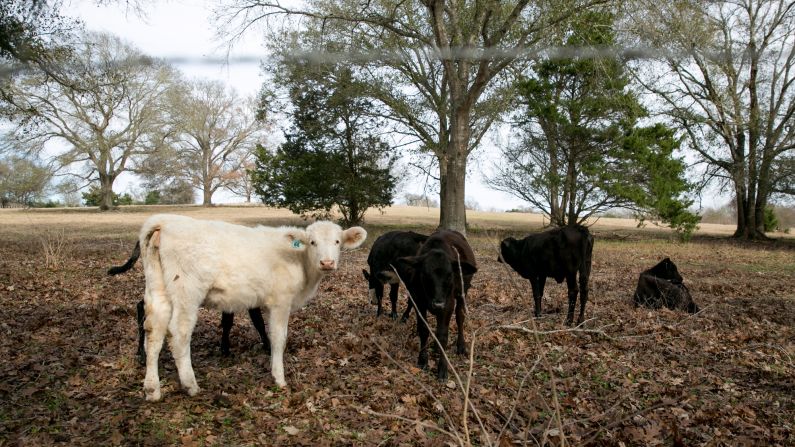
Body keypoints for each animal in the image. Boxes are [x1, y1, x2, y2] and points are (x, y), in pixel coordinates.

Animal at [129, 214, 366, 402]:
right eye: (312, 242)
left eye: (337, 241)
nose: (327, 263)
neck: (301, 263)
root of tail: (164, 220)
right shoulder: (281, 301)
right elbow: (278, 337)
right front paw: (279, 378)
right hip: (187, 291)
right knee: (179, 333)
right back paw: (190, 385)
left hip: (157, 288)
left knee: (154, 332)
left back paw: (152, 389)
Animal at [394, 231, 478, 382]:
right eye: (425, 274)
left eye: (450, 275)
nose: (438, 304)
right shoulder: (419, 302)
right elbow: (423, 330)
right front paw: (422, 360)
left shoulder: (447, 305)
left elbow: (443, 335)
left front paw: (443, 369)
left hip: (463, 293)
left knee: (460, 317)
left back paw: (461, 346)